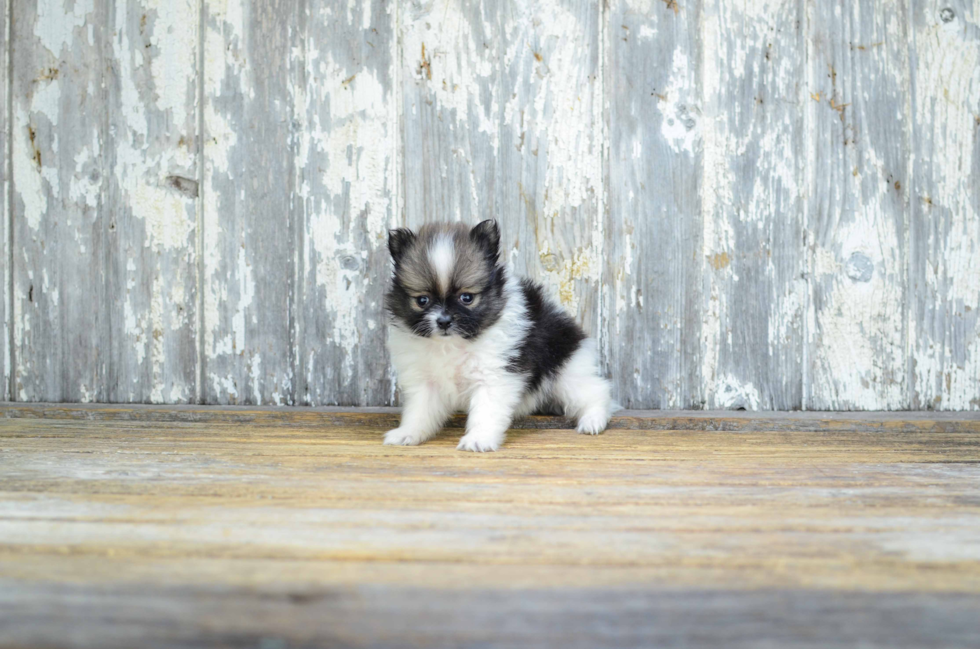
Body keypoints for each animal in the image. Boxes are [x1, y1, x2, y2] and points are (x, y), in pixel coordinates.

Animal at [382, 218, 612, 450]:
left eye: (467, 298)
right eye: (422, 300)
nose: (444, 321)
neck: (452, 344)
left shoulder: (493, 375)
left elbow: (486, 411)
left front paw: (479, 439)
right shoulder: (425, 381)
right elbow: (419, 411)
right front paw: (408, 433)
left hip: (567, 371)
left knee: (596, 391)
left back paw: (593, 420)